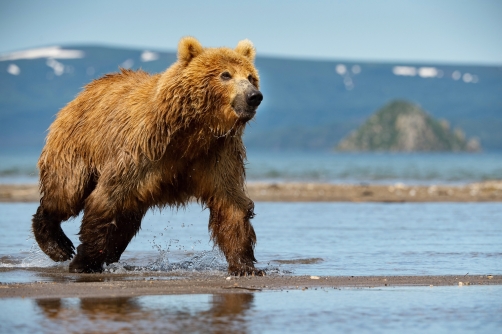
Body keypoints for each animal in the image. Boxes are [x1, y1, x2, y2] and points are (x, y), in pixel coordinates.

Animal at [32, 37, 264, 276]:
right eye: (225, 75)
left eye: (250, 77)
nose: (253, 96)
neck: (191, 132)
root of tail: (82, 93)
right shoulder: (144, 149)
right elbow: (108, 197)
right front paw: (84, 262)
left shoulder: (216, 153)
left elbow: (230, 203)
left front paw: (245, 266)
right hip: (76, 146)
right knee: (66, 193)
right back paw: (57, 245)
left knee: (125, 220)